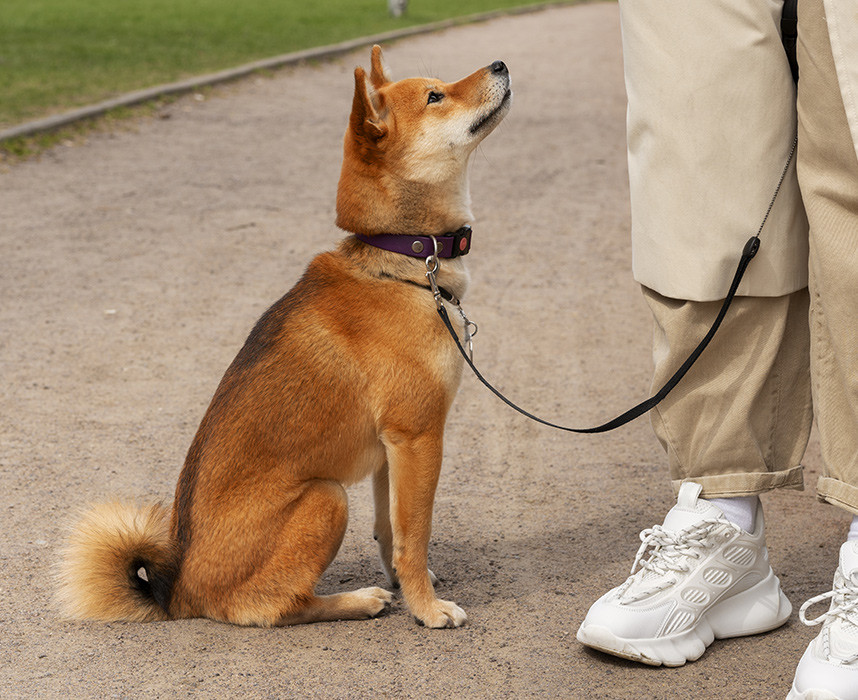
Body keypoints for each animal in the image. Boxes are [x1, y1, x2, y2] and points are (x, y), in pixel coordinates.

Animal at [58, 46, 508, 632]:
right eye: (436, 96)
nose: (500, 65)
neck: (402, 263)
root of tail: (177, 593)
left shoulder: (391, 452)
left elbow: (390, 532)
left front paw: (409, 588)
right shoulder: (418, 436)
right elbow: (414, 536)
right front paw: (426, 609)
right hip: (325, 496)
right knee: (271, 606)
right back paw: (355, 602)